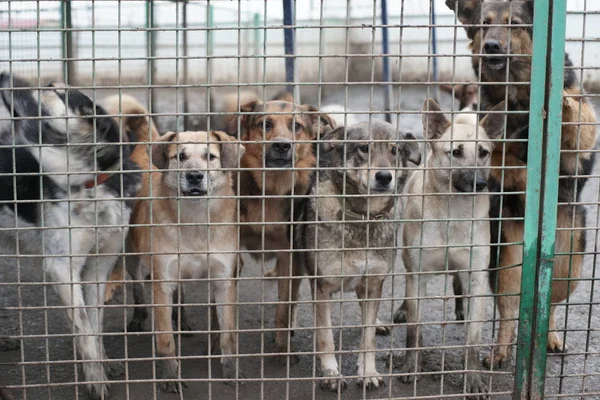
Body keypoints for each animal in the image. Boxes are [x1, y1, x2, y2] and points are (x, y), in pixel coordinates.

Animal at [0, 73, 139, 398]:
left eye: (58, 92)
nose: (45, 81)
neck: (92, 181)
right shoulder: (62, 267)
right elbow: (84, 327)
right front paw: (95, 379)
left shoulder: (99, 266)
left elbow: (95, 323)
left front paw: (104, 364)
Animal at [130, 130, 245, 390]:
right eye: (180, 156)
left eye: (210, 156)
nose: (194, 176)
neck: (196, 220)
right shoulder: (162, 282)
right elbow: (165, 338)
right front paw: (170, 376)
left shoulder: (224, 281)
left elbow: (229, 335)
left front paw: (231, 371)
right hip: (130, 256)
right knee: (137, 285)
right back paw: (139, 315)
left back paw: (182, 320)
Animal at [230, 97, 336, 362]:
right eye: (265, 124)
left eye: (296, 126)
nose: (281, 146)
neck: (271, 189)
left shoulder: (289, 255)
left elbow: (283, 308)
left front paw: (282, 348)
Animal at [448, 0, 596, 368]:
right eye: (484, 25)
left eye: (514, 24)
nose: (490, 47)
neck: (519, 94)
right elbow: (507, 159)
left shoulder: (581, 138)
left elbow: (578, 119)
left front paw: (562, 104)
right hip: (507, 260)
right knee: (512, 309)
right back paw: (501, 350)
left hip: (567, 261)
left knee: (549, 303)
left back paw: (550, 337)